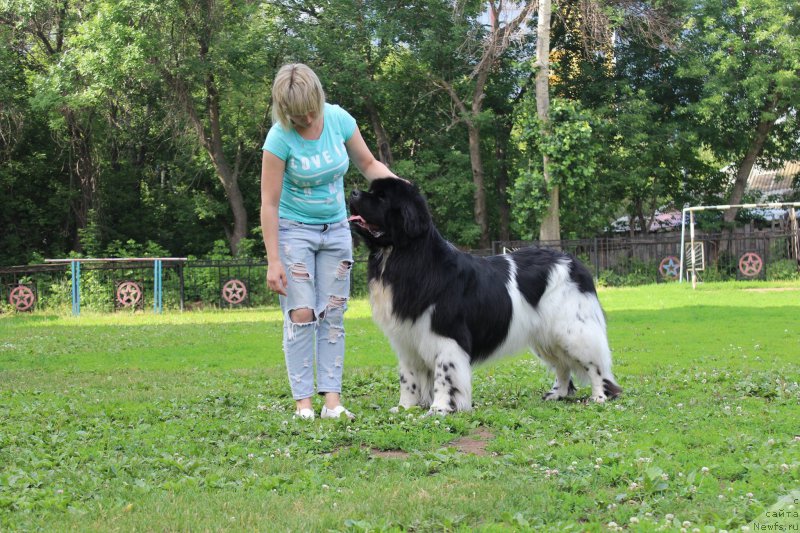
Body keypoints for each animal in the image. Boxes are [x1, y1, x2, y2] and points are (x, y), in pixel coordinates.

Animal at [346, 177, 620, 414]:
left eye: (381, 197)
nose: (353, 192)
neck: (400, 256)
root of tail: (573, 262)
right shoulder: (406, 339)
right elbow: (408, 377)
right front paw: (405, 407)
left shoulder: (447, 336)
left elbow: (444, 376)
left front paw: (440, 409)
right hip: (546, 336)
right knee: (563, 366)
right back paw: (558, 394)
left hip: (572, 330)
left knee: (595, 364)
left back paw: (599, 396)